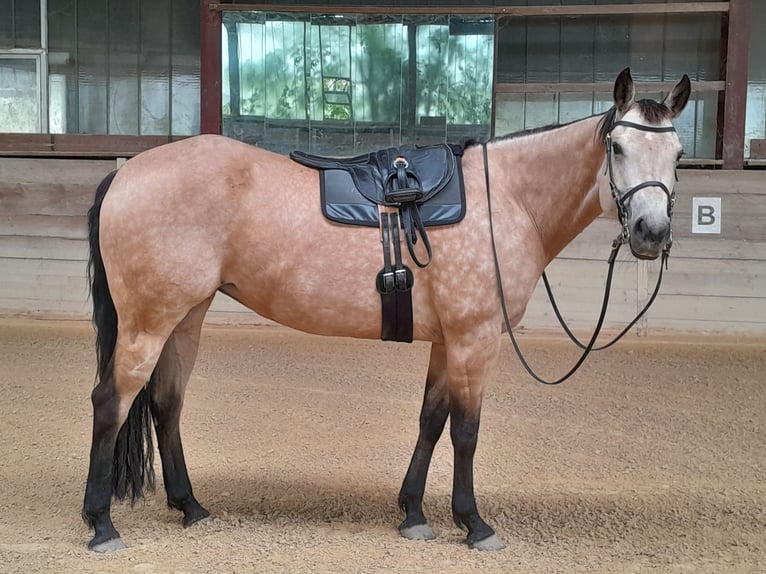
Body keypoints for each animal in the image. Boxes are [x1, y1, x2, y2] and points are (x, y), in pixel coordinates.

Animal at [82, 68, 690, 552]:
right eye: (617, 149)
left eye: (679, 155)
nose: (651, 232)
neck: (507, 199)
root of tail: (127, 172)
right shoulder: (475, 339)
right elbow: (466, 432)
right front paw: (474, 524)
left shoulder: (448, 340)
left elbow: (431, 421)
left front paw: (414, 513)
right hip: (148, 323)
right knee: (111, 402)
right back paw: (102, 525)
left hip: (185, 316)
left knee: (166, 404)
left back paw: (190, 507)